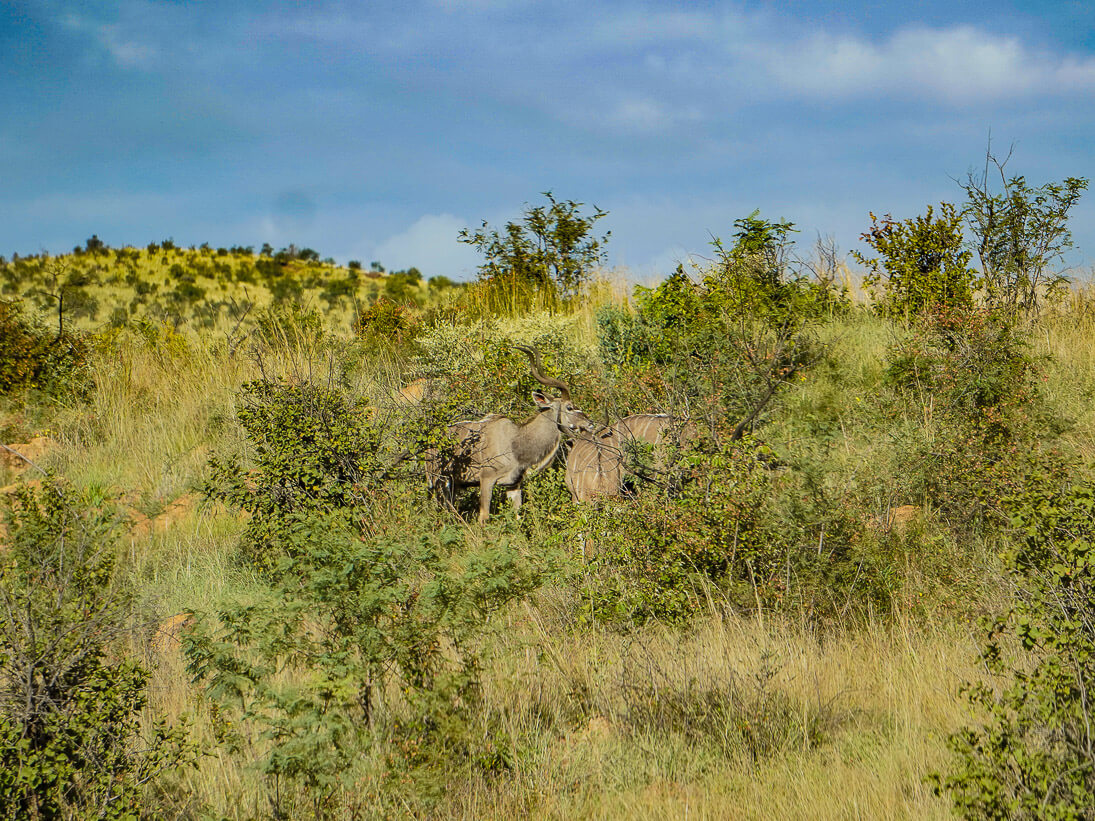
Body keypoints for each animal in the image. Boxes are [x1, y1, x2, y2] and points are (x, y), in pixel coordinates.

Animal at [429, 343, 600, 523]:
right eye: (569, 407)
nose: (590, 423)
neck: (515, 442)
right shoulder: (486, 479)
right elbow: (484, 518)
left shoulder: (513, 485)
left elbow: (518, 517)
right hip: (440, 481)